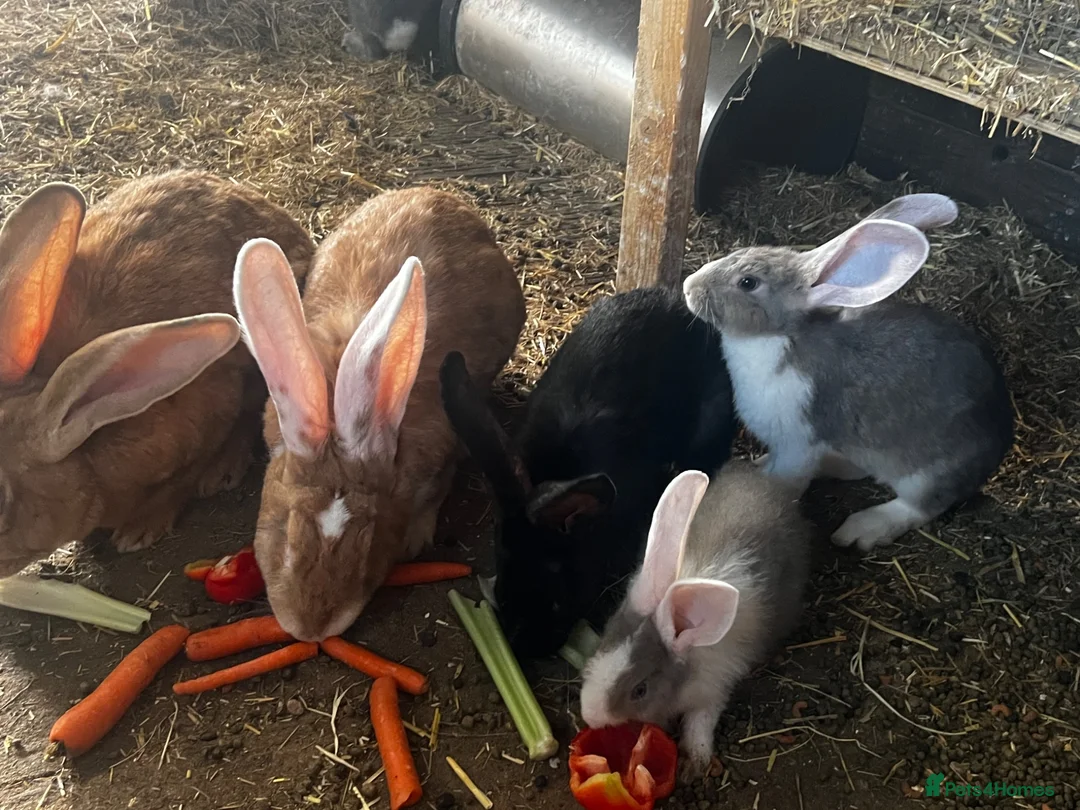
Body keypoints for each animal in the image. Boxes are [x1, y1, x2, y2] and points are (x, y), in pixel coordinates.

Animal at [579, 461, 810, 775]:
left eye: (640, 690)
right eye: (600, 647)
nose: (589, 715)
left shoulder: (713, 690)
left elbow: (700, 722)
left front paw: (697, 761)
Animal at [682, 193, 1014, 553]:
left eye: (748, 283)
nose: (688, 286)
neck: (778, 339)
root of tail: (1000, 445)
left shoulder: (798, 444)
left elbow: (786, 481)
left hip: (928, 475)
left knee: (920, 506)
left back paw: (863, 528)